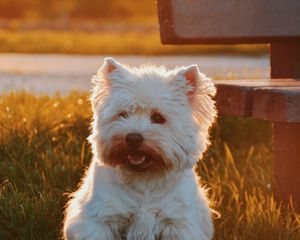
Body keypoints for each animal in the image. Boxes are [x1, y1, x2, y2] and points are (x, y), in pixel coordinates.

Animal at [63, 58, 217, 240]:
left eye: (158, 117)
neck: (144, 179)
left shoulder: (179, 223)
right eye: (122, 114)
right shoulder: (101, 219)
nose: (133, 138)